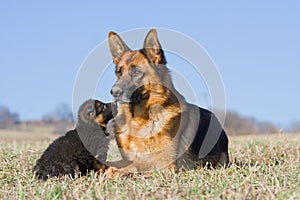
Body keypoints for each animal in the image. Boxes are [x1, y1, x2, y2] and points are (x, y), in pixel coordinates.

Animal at [106, 29, 229, 173]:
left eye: (136, 71)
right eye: (119, 72)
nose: (114, 92)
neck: (140, 120)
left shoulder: (165, 164)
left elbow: (135, 166)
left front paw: (113, 171)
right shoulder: (128, 159)